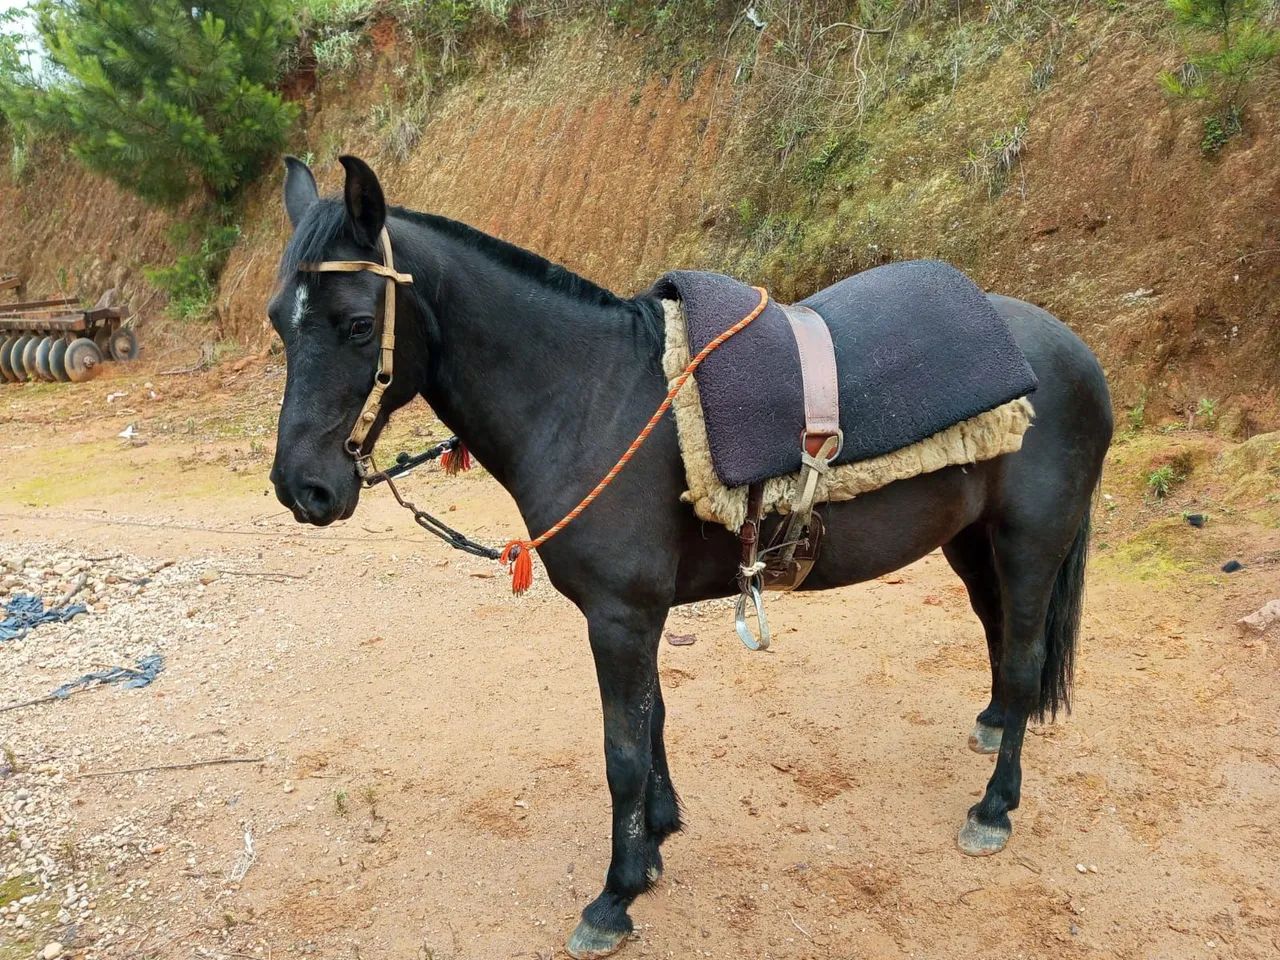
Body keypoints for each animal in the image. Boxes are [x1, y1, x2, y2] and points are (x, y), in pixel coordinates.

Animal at [267, 155, 1113, 958]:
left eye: (356, 324)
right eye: (280, 322)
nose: (302, 487)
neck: (592, 397)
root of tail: (1073, 353)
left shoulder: (620, 617)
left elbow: (621, 751)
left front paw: (615, 895)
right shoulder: (638, 616)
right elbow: (653, 725)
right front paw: (656, 839)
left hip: (1030, 542)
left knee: (1027, 659)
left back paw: (995, 808)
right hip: (971, 542)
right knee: (1001, 642)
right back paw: (995, 726)